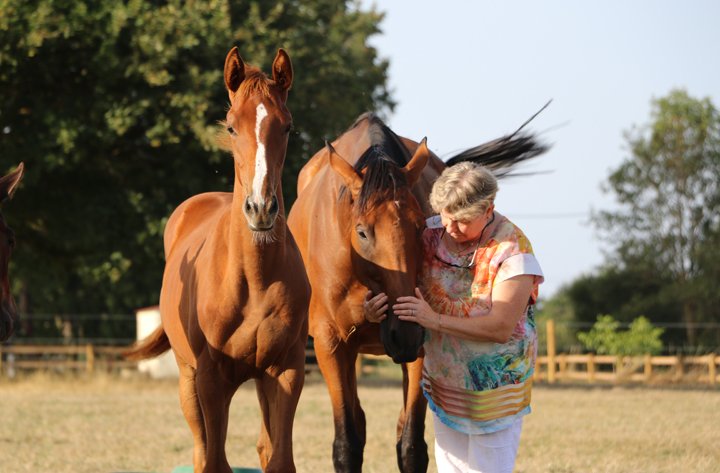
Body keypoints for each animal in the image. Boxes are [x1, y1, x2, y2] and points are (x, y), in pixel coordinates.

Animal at [126, 47, 310, 473]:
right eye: (231, 126)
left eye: (288, 127)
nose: (261, 208)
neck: (254, 279)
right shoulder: (210, 378)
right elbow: (213, 460)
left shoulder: (286, 371)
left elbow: (279, 459)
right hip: (187, 380)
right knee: (201, 450)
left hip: (261, 381)